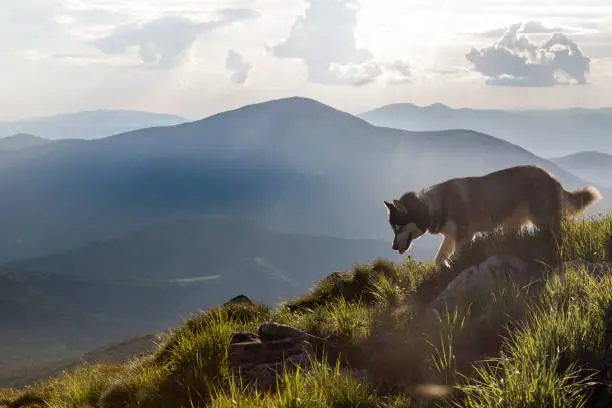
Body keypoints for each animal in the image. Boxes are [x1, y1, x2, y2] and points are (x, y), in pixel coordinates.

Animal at [382, 164, 604, 270]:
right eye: (393, 229)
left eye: (399, 227)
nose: (392, 247)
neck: (433, 206)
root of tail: (552, 176)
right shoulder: (451, 237)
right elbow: (439, 259)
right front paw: (445, 266)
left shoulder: (464, 236)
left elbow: (458, 256)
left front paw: (454, 266)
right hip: (513, 224)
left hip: (543, 218)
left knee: (557, 235)